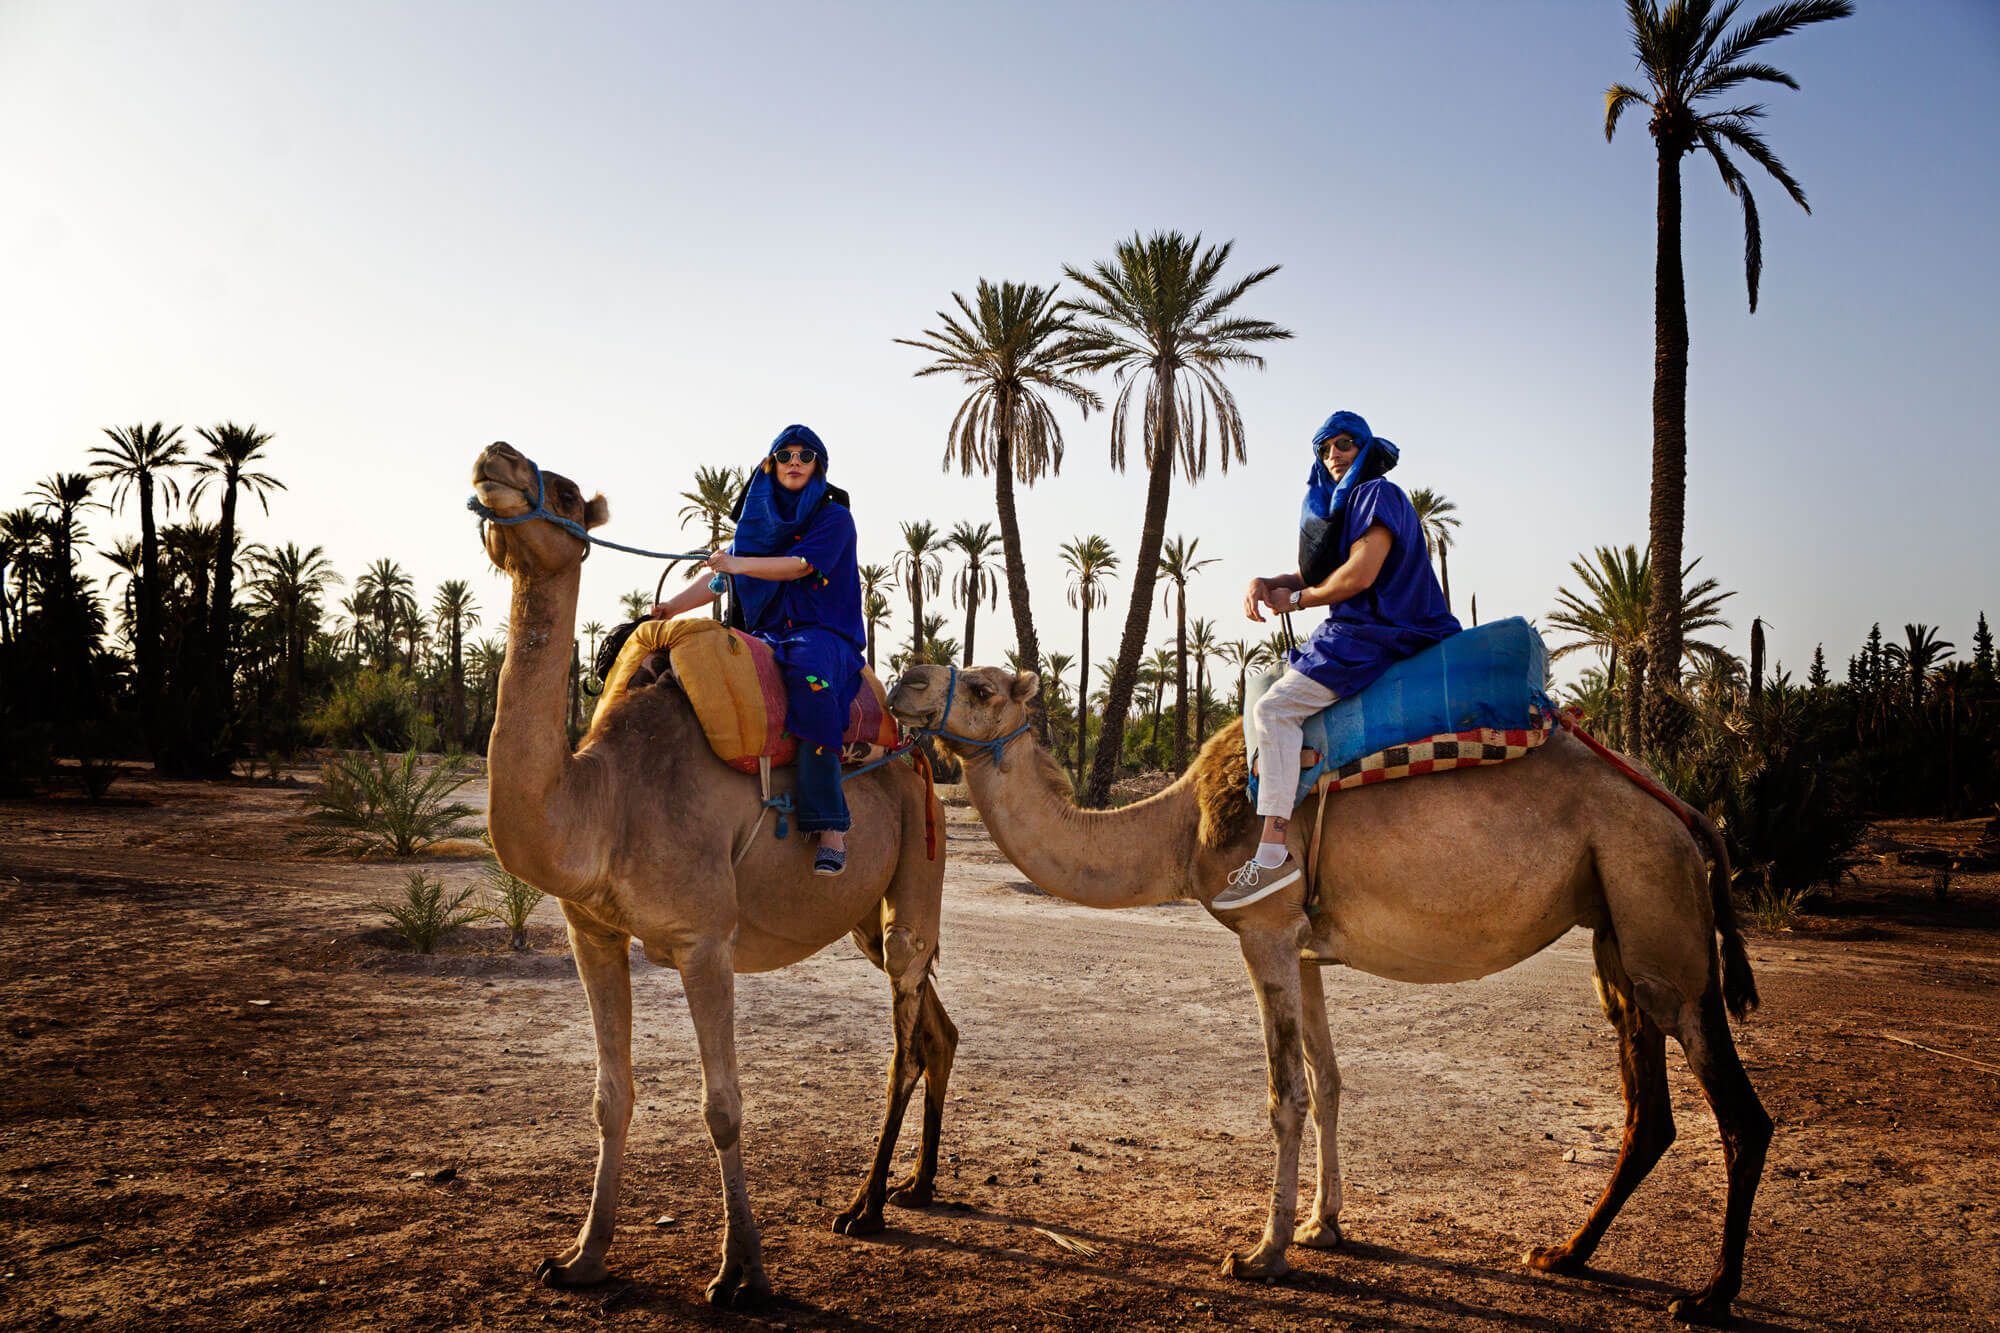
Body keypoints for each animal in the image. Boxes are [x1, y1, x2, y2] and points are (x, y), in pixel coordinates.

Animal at [476, 440, 960, 1304]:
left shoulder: (705, 939)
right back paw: (916, 1187)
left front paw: (741, 1271)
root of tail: (918, 753)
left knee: (905, 1037)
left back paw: (864, 1207)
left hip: (918, 869)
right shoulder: (591, 931)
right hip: (865, 921)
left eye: (562, 490)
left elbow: (723, 1107)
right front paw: (581, 1258)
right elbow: (609, 1097)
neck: (605, 798)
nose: (494, 458)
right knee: (937, 1029)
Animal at [892, 660, 1768, 1320]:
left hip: (1660, 918)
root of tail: (1687, 812)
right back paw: (1565, 1253)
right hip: (1617, 930)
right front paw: (1324, 1224)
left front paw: (1262, 1251)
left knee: (1740, 1114)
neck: (1175, 829)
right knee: (1649, 1111)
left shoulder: (1265, 930)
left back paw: (1709, 1296)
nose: (903, 678)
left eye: (981, 686)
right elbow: (1328, 1080)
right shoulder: (1306, 950)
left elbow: (1284, 1092)